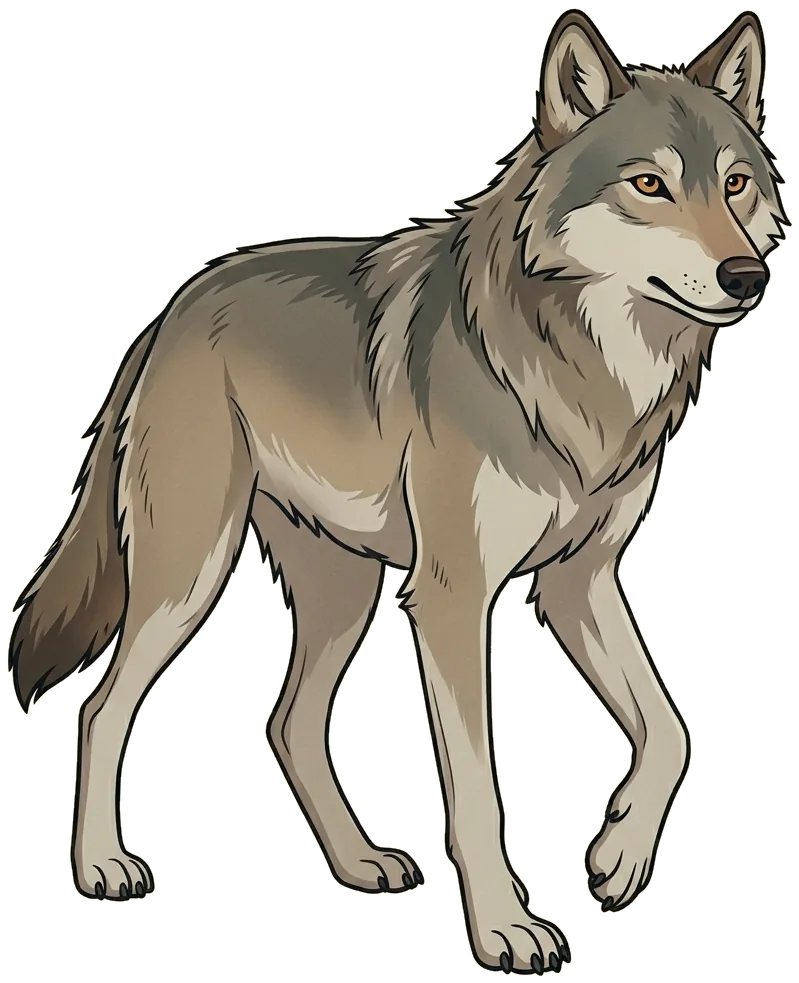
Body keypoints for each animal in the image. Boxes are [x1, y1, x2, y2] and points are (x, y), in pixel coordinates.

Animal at [8, 7, 788, 975]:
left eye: (735, 185)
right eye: (649, 184)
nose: (746, 277)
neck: (575, 365)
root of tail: (170, 310)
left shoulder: (577, 581)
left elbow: (672, 730)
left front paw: (616, 852)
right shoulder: (452, 595)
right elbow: (480, 789)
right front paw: (504, 927)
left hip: (345, 594)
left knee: (288, 723)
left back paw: (358, 861)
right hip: (190, 577)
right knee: (100, 707)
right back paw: (101, 865)